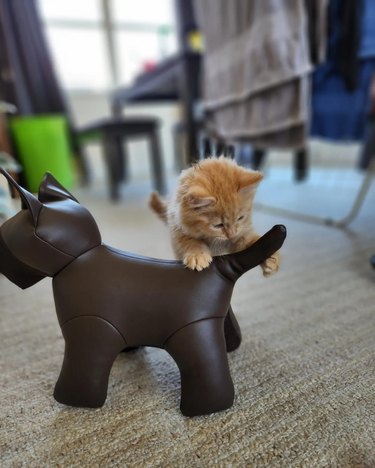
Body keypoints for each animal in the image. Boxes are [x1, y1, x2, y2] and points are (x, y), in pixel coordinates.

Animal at [148, 155, 280, 276]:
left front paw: (270, 257)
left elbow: (252, 240)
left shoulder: (241, 232)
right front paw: (198, 255)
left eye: (240, 218)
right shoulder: (177, 226)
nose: (231, 234)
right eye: (218, 225)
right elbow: (188, 240)